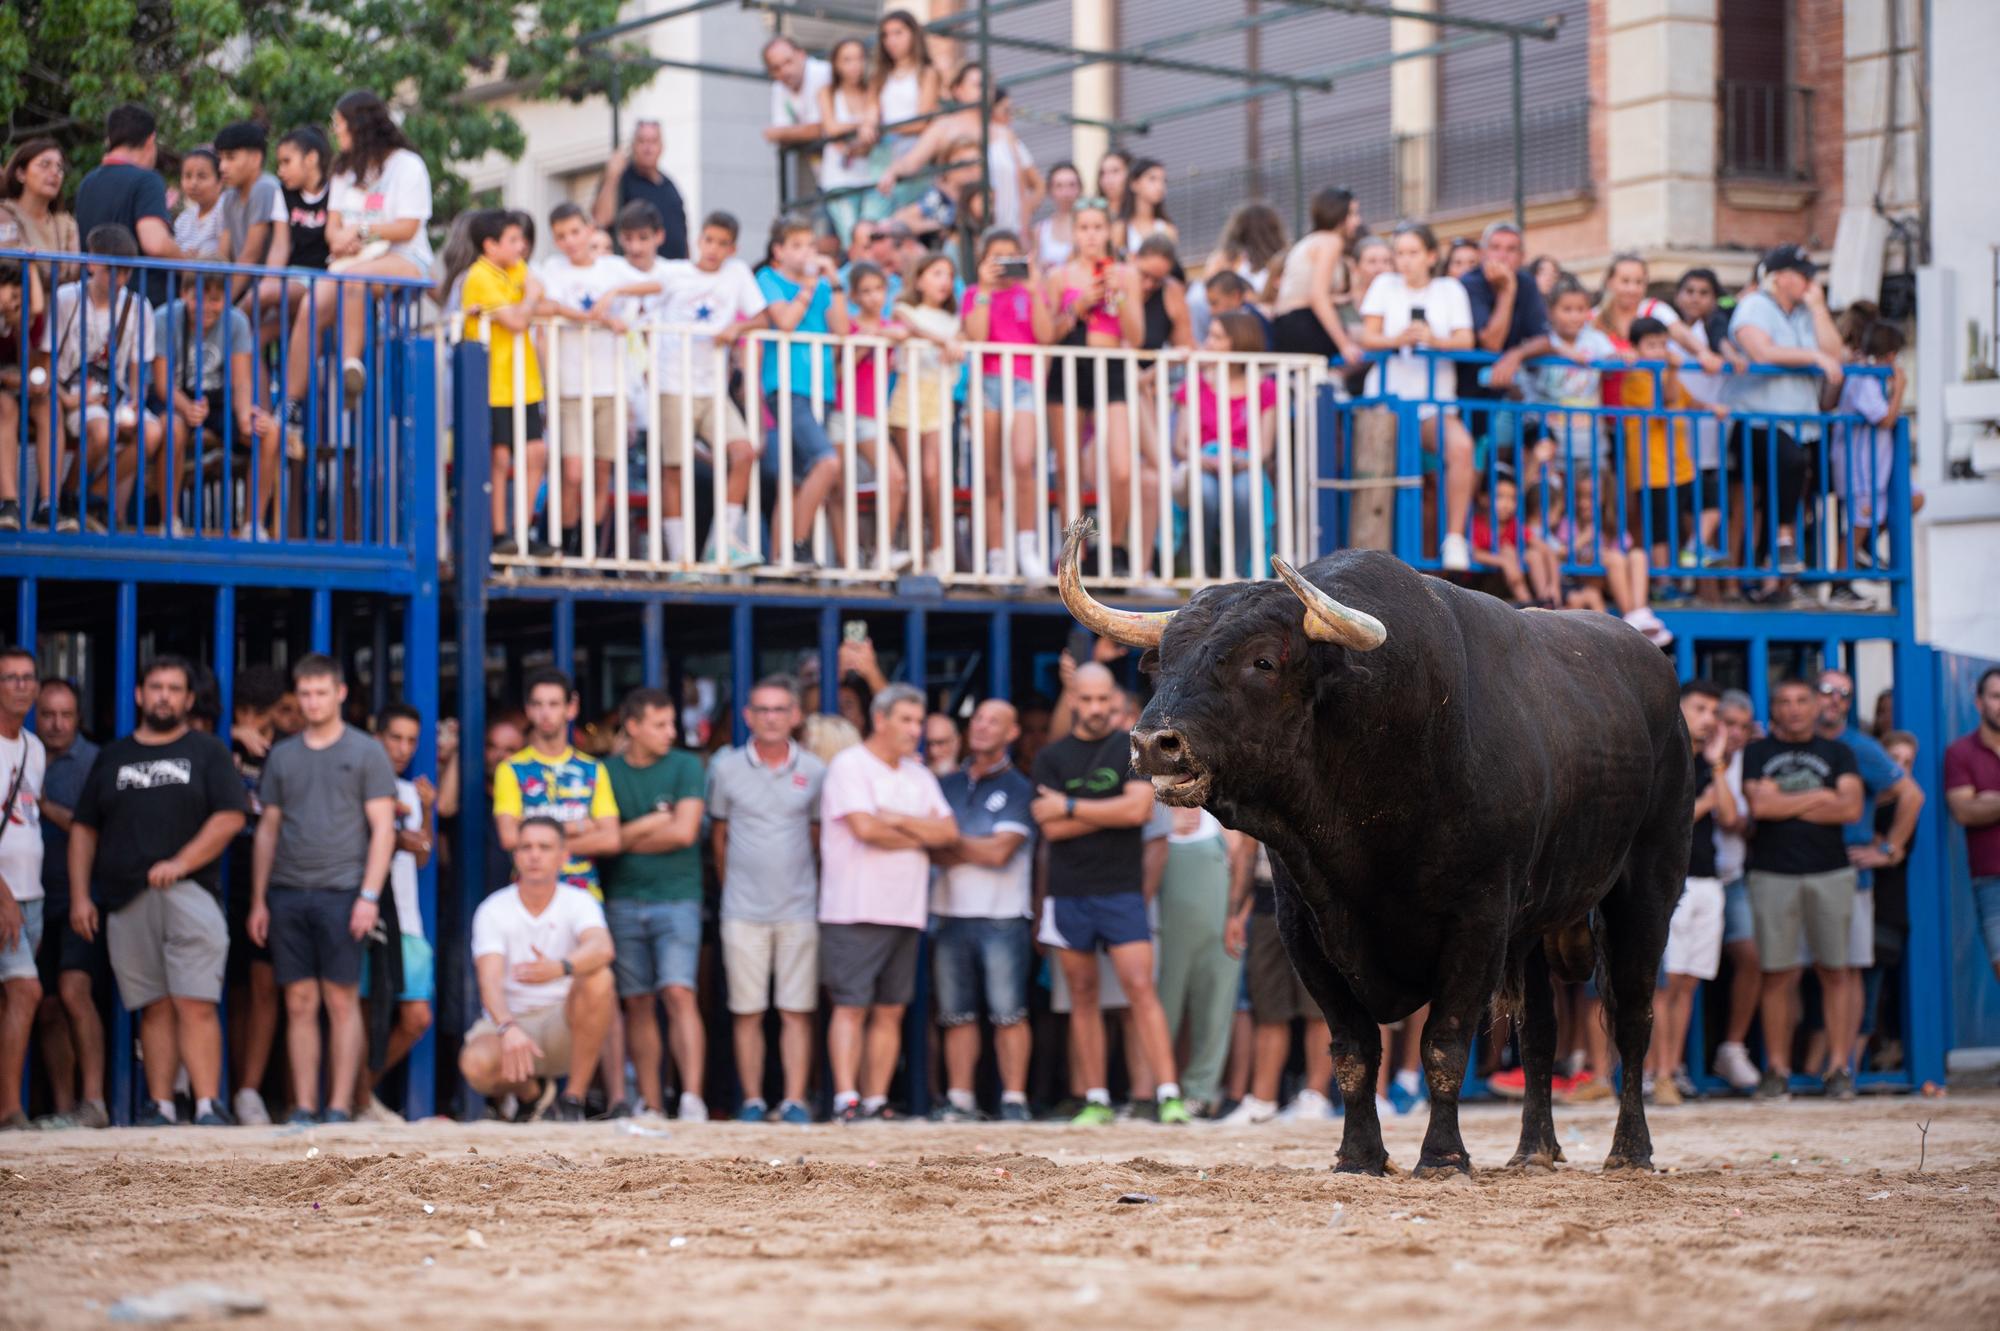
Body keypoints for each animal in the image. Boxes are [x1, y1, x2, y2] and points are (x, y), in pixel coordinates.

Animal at [1064, 527, 1688, 1175]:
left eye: (1263, 661)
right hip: (1535, 927)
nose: (1152, 743)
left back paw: (1630, 1150)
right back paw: (1533, 1151)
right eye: (1164, 661)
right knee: (1539, 1030)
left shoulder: (1480, 921)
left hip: (1648, 888)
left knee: (1633, 1020)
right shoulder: (1304, 926)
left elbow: (1443, 1044)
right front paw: (1359, 1156)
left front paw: (1442, 1158)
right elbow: (1353, 1051)